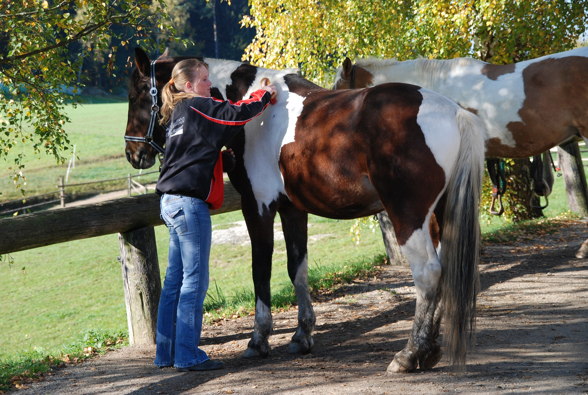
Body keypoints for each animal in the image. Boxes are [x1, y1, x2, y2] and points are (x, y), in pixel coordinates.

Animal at [125, 48, 486, 372]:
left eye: (140, 93)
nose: (133, 152)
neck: (253, 114)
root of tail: (454, 112)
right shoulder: (292, 209)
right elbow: (297, 270)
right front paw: (302, 335)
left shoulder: (257, 207)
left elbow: (261, 271)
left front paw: (259, 340)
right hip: (438, 214)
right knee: (443, 269)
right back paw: (429, 350)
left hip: (408, 216)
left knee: (428, 273)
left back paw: (410, 355)